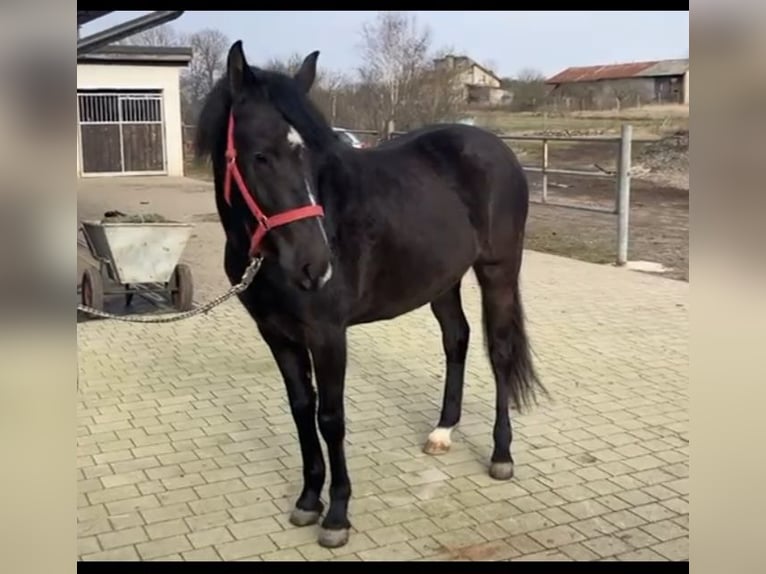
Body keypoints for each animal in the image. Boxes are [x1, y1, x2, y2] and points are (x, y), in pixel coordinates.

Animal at [196, 40, 544, 548]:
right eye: (259, 155)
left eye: (311, 156)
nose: (315, 266)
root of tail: (496, 148)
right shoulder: (276, 335)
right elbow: (301, 410)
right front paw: (308, 500)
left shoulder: (327, 335)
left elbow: (330, 418)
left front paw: (337, 515)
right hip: (442, 279)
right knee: (456, 340)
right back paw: (443, 432)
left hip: (498, 271)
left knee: (498, 352)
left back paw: (501, 455)